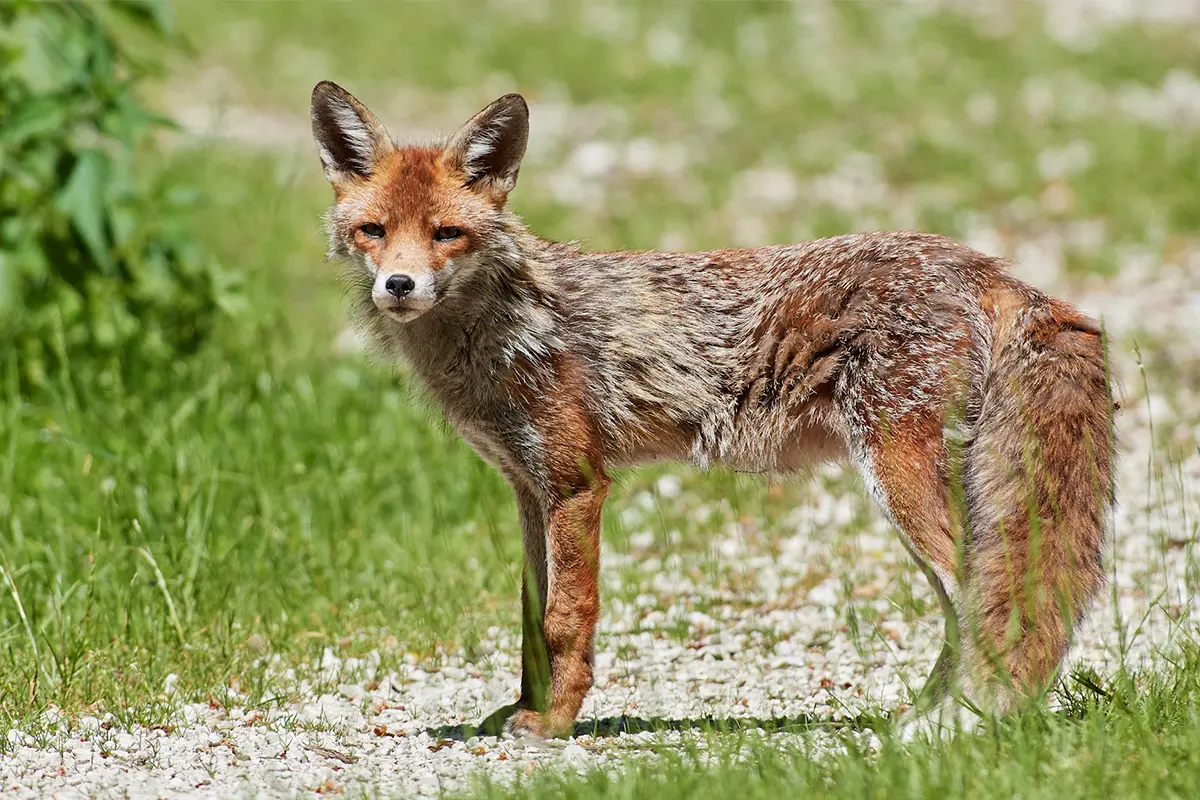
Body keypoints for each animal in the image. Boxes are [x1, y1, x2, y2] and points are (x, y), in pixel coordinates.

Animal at [310, 82, 1116, 738]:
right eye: (373, 231)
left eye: (447, 234)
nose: (400, 286)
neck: (497, 335)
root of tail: (984, 266)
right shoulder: (527, 488)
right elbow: (530, 621)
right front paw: (522, 710)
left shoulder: (576, 484)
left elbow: (569, 618)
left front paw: (555, 725)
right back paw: (928, 716)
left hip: (899, 480)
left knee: (978, 599)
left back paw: (958, 724)